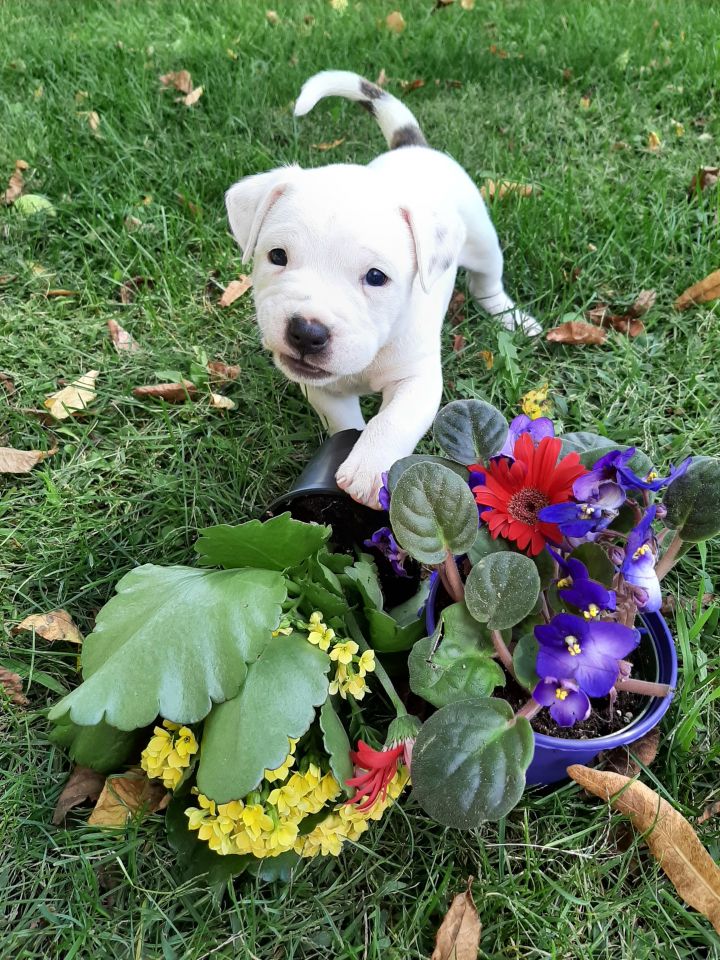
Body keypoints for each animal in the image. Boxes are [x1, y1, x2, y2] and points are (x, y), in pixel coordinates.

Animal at [228, 70, 536, 510]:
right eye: (277, 256)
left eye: (376, 277)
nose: (306, 332)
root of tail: (414, 148)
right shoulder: (321, 386)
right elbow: (344, 421)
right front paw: (350, 447)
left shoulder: (419, 378)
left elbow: (394, 419)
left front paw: (369, 467)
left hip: (481, 241)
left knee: (488, 280)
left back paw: (509, 316)